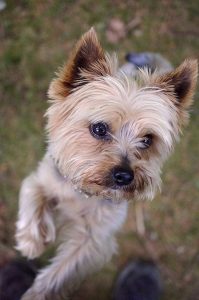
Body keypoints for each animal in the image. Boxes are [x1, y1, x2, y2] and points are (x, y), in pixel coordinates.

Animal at [16, 28, 198, 300]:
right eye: (99, 128)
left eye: (147, 139)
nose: (124, 176)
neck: (83, 191)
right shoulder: (43, 177)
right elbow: (33, 198)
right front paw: (31, 241)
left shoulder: (94, 240)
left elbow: (60, 274)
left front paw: (36, 293)